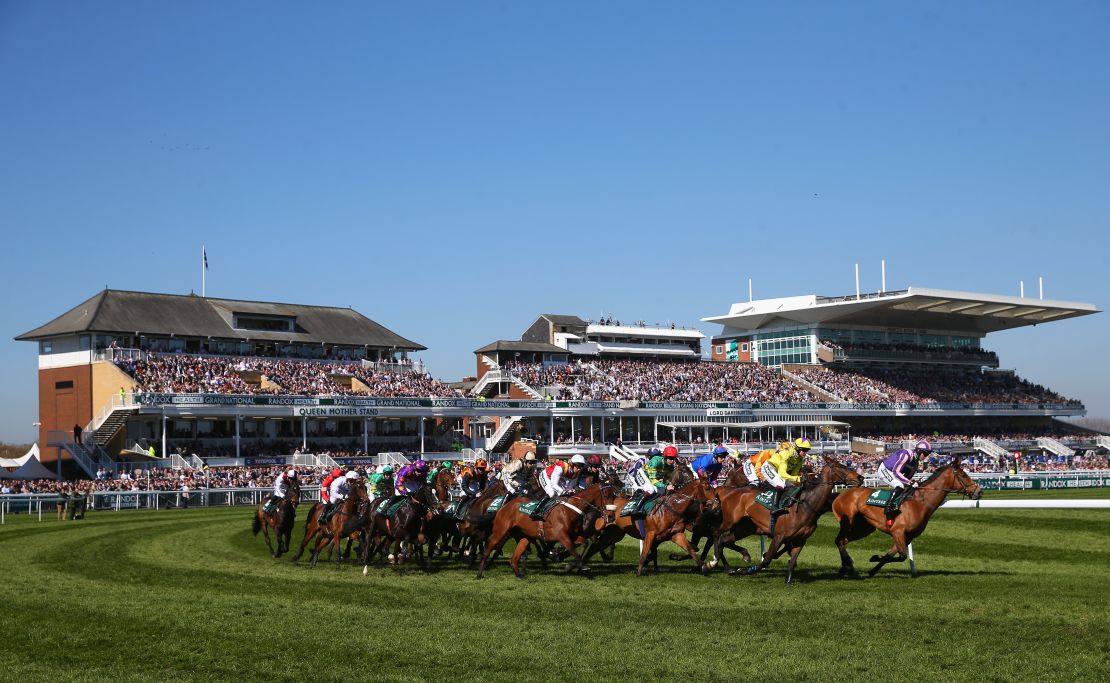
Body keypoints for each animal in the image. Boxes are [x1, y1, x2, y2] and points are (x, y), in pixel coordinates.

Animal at [477, 484, 612, 581]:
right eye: (606, 495)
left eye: (614, 494)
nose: (610, 516)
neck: (570, 510)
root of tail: (504, 506)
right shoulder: (561, 536)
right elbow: (572, 549)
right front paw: (582, 567)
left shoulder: (572, 535)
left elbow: (584, 543)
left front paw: (570, 564)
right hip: (500, 532)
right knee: (488, 549)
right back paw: (479, 574)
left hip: (524, 537)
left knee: (514, 558)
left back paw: (520, 575)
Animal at [723, 459, 861, 581]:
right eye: (840, 467)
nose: (860, 477)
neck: (806, 504)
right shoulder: (779, 536)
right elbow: (767, 560)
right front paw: (743, 570)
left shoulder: (800, 539)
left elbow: (791, 560)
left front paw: (789, 576)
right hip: (732, 524)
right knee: (720, 539)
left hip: (745, 528)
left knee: (724, 540)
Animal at [834, 459, 981, 577]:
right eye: (963, 475)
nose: (979, 491)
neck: (921, 502)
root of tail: (840, 495)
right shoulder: (898, 531)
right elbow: (902, 556)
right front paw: (874, 558)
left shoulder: (908, 536)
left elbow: (890, 556)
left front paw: (873, 569)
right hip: (848, 522)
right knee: (839, 540)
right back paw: (847, 566)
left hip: (864, 528)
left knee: (842, 541)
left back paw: (845, 567)